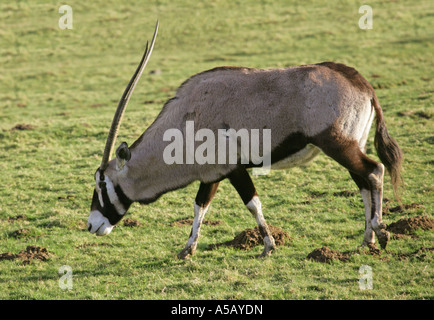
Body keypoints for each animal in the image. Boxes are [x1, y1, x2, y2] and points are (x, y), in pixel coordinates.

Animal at [87, 21, 404, 258]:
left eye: (102, 183)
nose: (92, 225)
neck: (187, 117)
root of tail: (361, 83)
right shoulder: (212, 175)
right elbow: (200, 206)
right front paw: (187, 249)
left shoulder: (233, 169)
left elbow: (252, 203)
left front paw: (268, 246)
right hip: (349, 146)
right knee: (363, 182)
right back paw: (366, 241)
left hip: (338, 145)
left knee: (374, 171)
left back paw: (381, 232)